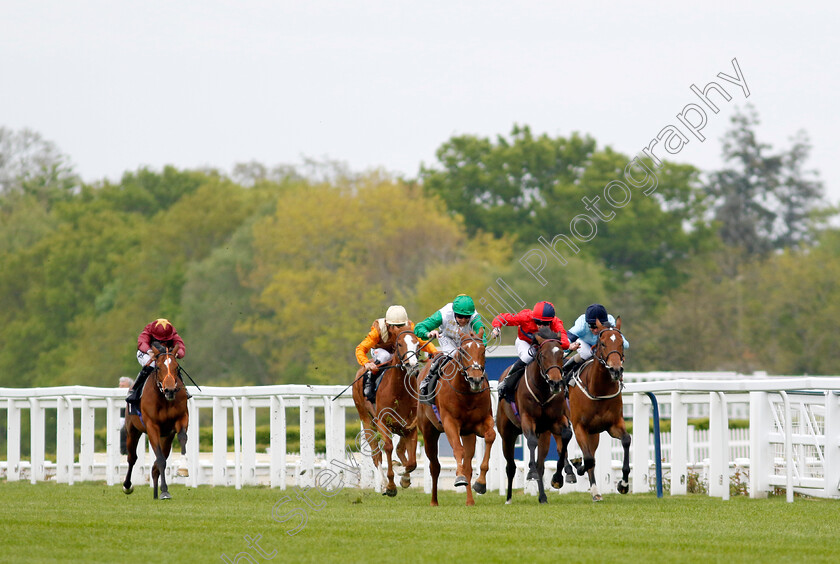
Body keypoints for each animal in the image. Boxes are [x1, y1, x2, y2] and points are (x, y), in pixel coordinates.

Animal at [123, 346, 189, 500]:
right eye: (158, 367)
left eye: (176, 367)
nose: (170, 390)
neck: (164, 399)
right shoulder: (152, 426)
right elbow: (160, 460)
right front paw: (164, 490)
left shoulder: (181, 418)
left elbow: (183, 438)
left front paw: (183, 468)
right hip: (132, 430)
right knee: (132, 457)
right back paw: (127, 486)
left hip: (166, 438)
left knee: (156, 464)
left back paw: (155, 492)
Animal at [352, 324, 424, 496]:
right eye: (400, 344)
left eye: (417, 343)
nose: (412, 366)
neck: (399, 391)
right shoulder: (382, 422)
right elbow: (388, 447)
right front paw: (391, 485)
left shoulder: (410, 426)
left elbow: (412, 462)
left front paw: (404, 476)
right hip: (366, 419)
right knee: (376, 454)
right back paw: (384, 484)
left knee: (400, 450)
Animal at [416, 326, 496, 506]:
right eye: (463, 351)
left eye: (483, 350)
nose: (475, 379)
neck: (466, 394)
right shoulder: (449, 422)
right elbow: (458, 450)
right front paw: (459, 478)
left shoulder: (480, 423)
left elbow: (490, 436)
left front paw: (481, 483)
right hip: (428, 431)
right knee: (434, 466)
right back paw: (434, 501)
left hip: (468, 434)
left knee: (467, 466)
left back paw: (470, 501)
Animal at [496, 328, 576, 504]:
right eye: (543, 355)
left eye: (561, 354)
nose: (555, 382)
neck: (543, 390)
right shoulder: (528, 419)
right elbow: (531, 442)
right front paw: (530, 472)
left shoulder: (555, 421)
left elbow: (566, 436)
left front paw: (559, 477)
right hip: (507, 433)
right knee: (510, 466)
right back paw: (508, 497)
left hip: (544, 434)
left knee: (541, 464)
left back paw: (543, 496)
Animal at [564, 318, 632, 502]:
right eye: (602, 343)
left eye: (621, 343)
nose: (616, 370)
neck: (599, 389)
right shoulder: (579, 426)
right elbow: (588, 459)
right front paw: (578, 465)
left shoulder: (613, 424)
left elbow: (626, 440)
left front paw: (623, 484)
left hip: (594, 433)